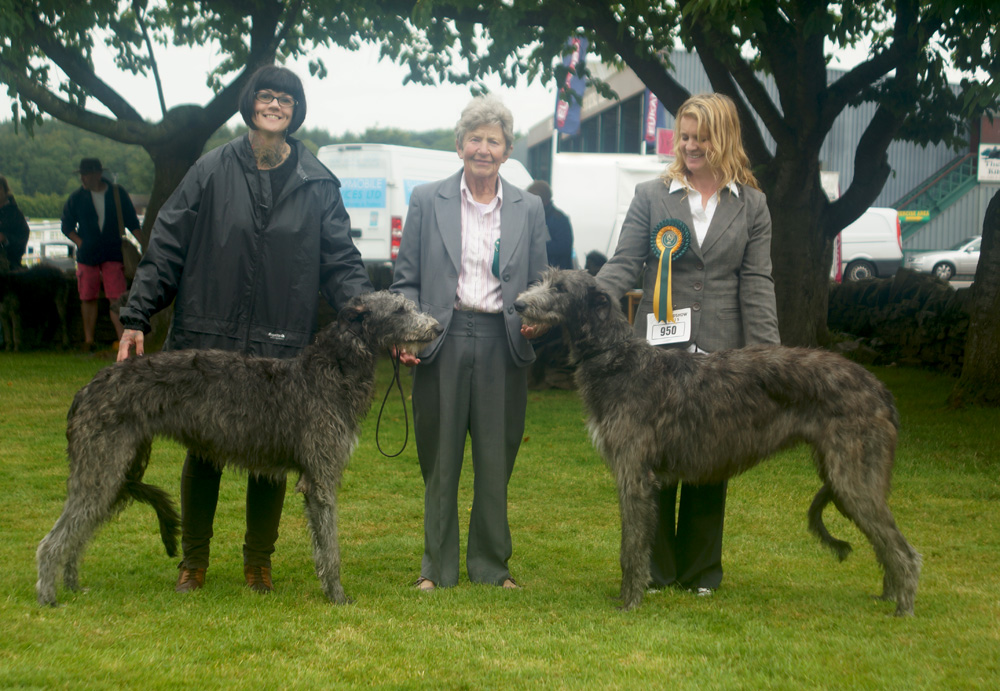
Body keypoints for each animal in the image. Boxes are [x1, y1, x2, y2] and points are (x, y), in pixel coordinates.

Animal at [40, 292, 438, 604]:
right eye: (399, 309)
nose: (436, 328)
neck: (331, 371)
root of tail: (87, 390)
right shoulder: (322, 478)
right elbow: (331, 546)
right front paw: (338, 596)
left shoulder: (313, 477)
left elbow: (321, 544)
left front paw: (330, 590)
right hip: (102, 466)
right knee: (53, 539)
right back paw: (48, 596)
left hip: (112, 470)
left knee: (79, 532)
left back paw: (73, 586)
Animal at [516, 268, 920, 616]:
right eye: (545, 279)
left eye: (560, 288)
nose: (518, 304)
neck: (617, 358)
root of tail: (880, 389)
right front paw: (629, 595)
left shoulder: (635, 474)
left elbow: (631, 545)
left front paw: (629, 602)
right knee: (886, 544)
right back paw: (887, 596)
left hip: (852, 476)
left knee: (904, 550)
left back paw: (903, 609)